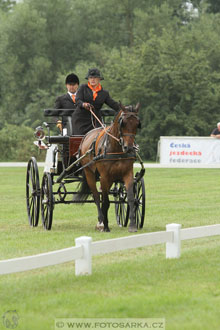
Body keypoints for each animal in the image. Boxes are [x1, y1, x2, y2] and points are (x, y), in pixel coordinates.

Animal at [76, 103, 140, 232]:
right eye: (123, 123)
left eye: (137, 124)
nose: (129, 148)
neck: (116, 149)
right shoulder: (104, 177)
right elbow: (105, 201)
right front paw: (105, 225)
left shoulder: (128, 174)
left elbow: (131, 198)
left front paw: (132, 225)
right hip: (90, 173)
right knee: (96, 196)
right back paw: (101, 220)